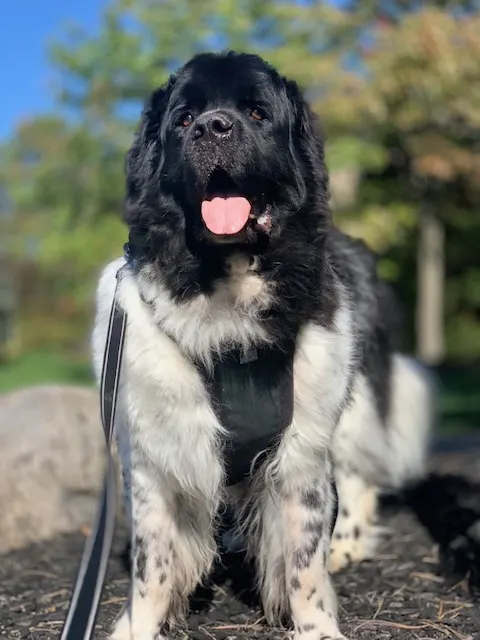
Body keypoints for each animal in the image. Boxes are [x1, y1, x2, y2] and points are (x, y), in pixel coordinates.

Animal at [91, 51, 436, 640]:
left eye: (256, 113)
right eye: (184, 119)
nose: (213, 127)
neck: (227, 291)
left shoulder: (303, 448)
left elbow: (304, 564)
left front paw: (317, 627)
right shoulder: (153, 452)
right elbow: (152, 563)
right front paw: (138, 626)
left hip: (348, 403)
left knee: (356, 474)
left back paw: (347, 541)